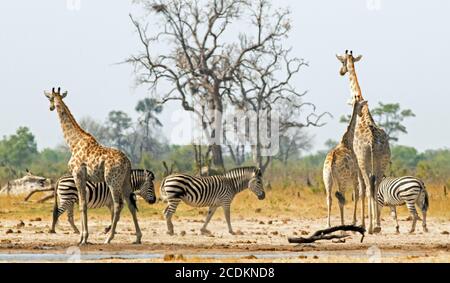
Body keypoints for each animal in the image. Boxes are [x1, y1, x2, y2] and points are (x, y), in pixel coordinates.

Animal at [44, 87, 142, 245]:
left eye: (50, 98)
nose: (51, 107)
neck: (73, 143)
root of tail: (127, 162)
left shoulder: (78, 175)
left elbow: (83, 205)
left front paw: (83, 238)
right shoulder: (83, 177)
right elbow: (82, 204)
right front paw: (83, 237)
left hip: (112, 181)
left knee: (118, 205)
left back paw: (109, 238)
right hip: (125, 181)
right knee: (131, 204)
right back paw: (138, 237)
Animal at [326, 100, 368, 229]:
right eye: (362, 106)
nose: (361, 114)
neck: (347, 141)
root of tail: (332, 162)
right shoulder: (354, 176)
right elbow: (356, 195)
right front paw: (354, 221)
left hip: (327, 180)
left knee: (329, 199)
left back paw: (328, 225)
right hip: (342, 181)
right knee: (341, 200)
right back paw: (342, 227)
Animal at [336, 51, 392, 235]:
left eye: (342, 62)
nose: (341, 71)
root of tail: (373, 142)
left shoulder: (357, 161)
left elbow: (359, 191)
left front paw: (358, 223)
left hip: (364, 161)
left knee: (368, 188)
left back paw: (371, 226)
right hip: (382, 162)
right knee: (376, 186)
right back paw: (377, 225)